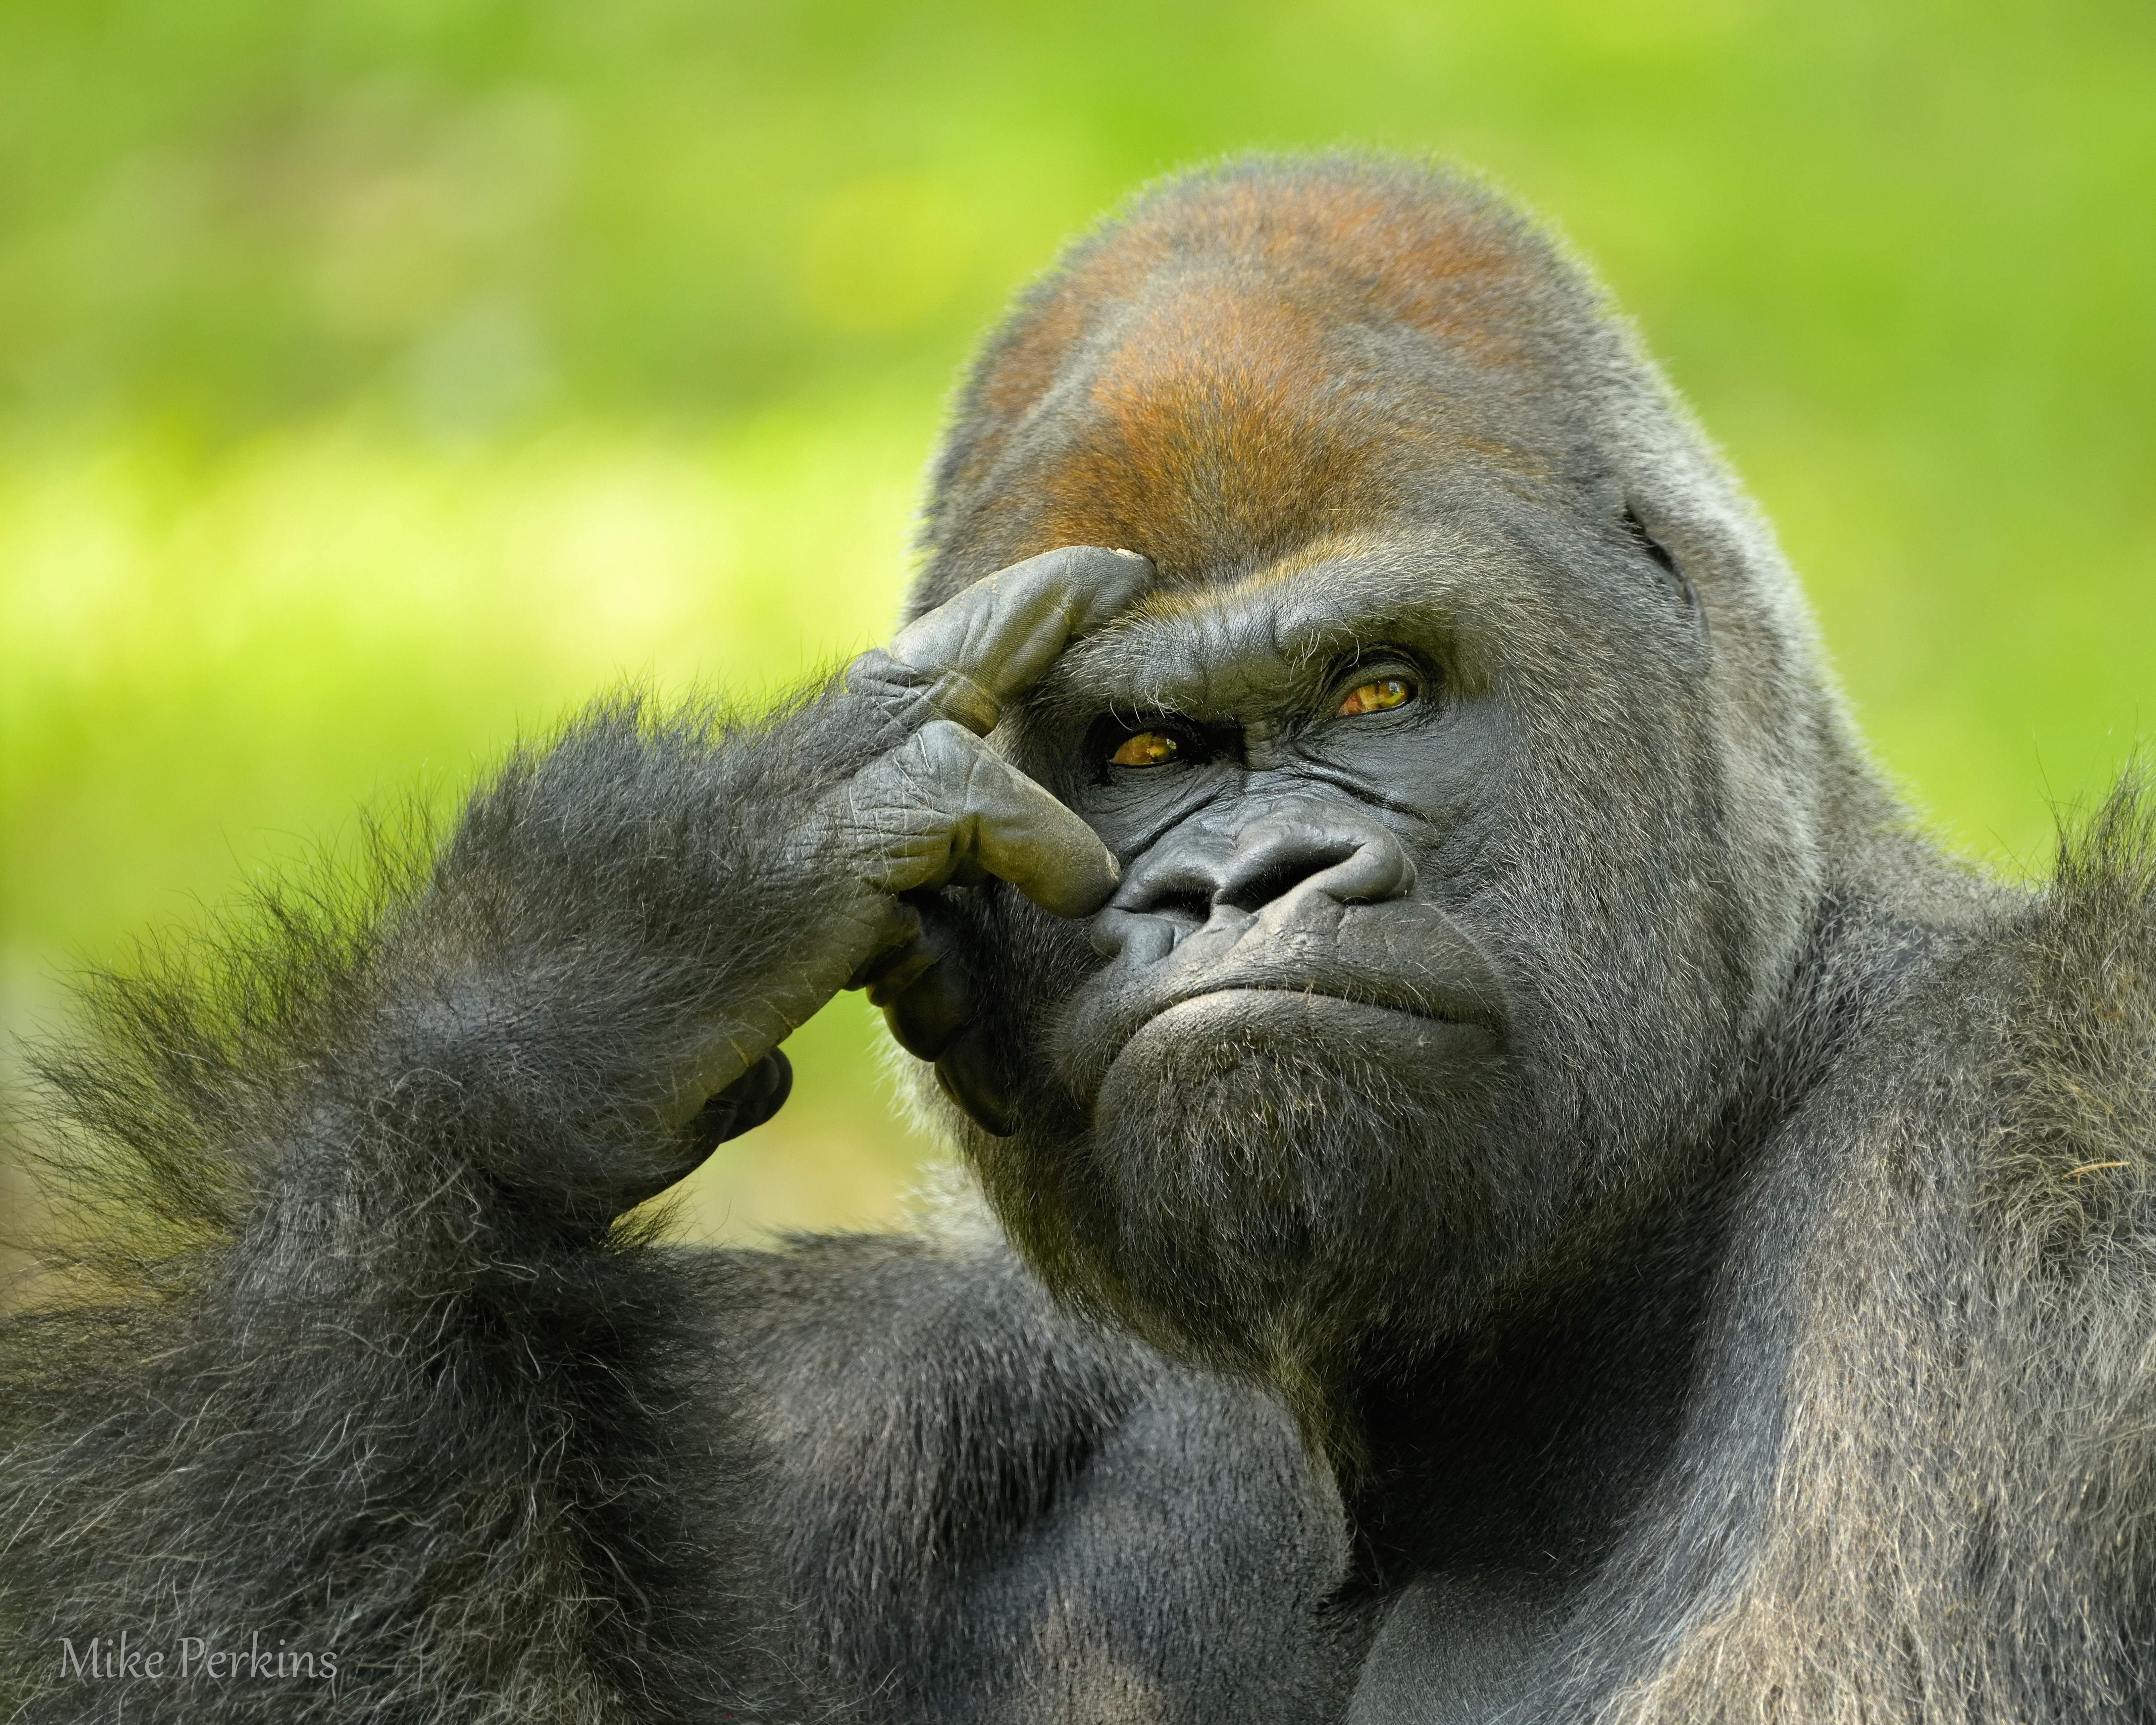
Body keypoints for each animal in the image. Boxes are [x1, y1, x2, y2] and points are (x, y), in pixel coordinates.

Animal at [3, 154, 2153, 1724]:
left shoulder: (2045, 1122)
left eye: (1381, 691)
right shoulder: (863, 1401)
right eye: (1136, 754)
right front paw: (544, 995)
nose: (1241, 882)